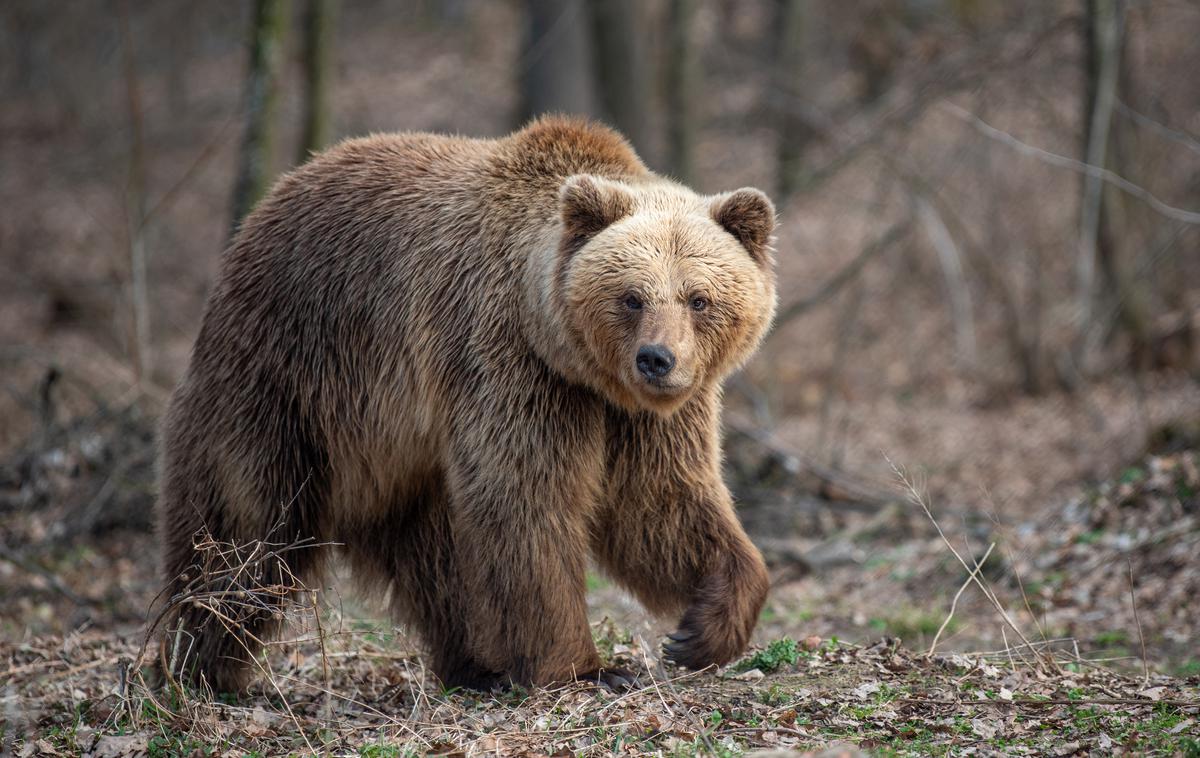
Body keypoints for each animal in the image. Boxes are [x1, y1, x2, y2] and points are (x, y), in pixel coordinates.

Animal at [157, 113, 777, 690]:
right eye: (631, 297)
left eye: (698, 298)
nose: (656, 358)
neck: (570, 356)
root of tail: (259, 215)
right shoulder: (505, 359)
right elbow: (526, 501)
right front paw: (587, 668)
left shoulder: (637, 414)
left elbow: (660, 503)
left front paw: (700, 629)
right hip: (284, 380)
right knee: (245, 531)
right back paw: (198, 667)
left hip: (397, 450)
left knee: (435, 557)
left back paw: (477, 665)